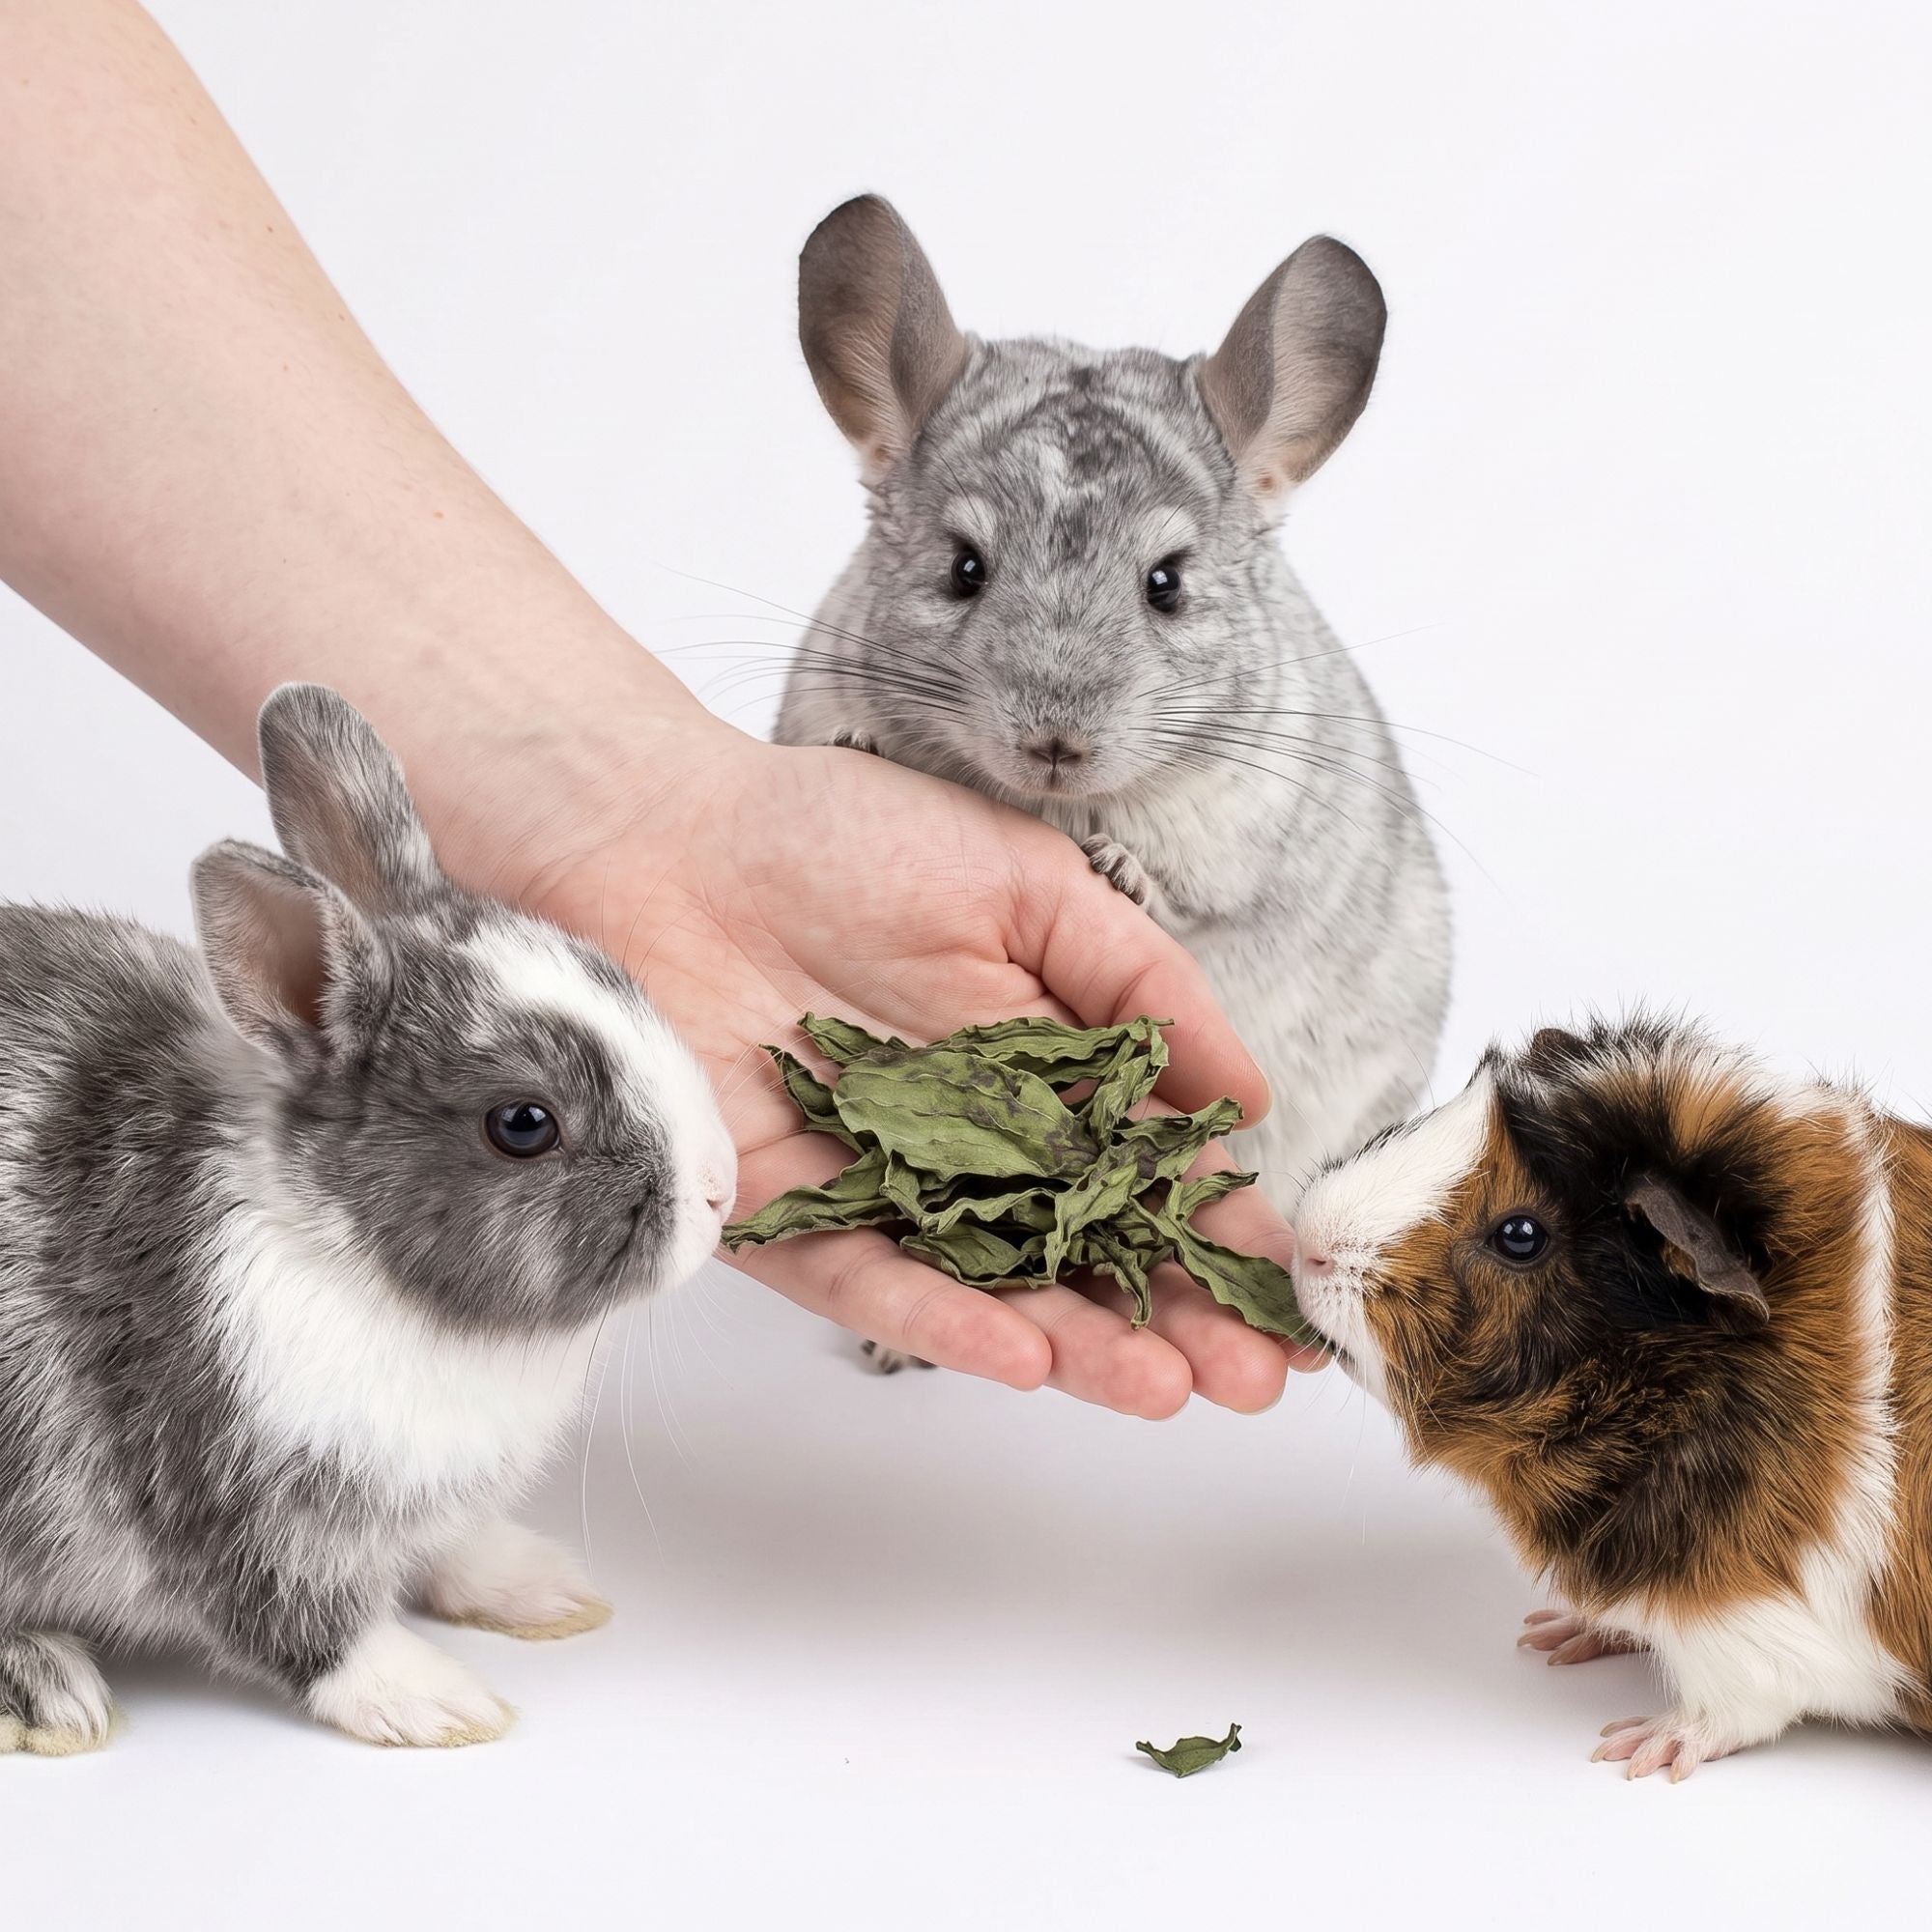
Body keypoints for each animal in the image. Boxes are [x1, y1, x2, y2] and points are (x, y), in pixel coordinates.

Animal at [0, 684, 736, 1754]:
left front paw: (539, 1592)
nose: (721, 1186)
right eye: (524, 1123)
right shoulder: (225, 1491)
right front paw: (438, 1700)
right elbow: (304, 1622)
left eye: (620, 982)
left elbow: (451, 1547)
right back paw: (48, 1690)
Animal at [775, 196, 1451, 1372]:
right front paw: (861, 751)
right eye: (962, 568)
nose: (1055, 738)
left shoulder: (1243, 854)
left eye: (1166, 583)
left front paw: (1119, 870)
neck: (1054, 803)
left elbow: (1186, 897)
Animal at [1292, 1014, 1929, 1781]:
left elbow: (1736, 1705)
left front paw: (1640, 1750)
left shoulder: (1749, 1617)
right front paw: (1556, 1635)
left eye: (1520, 1234)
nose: (1308, 1239)